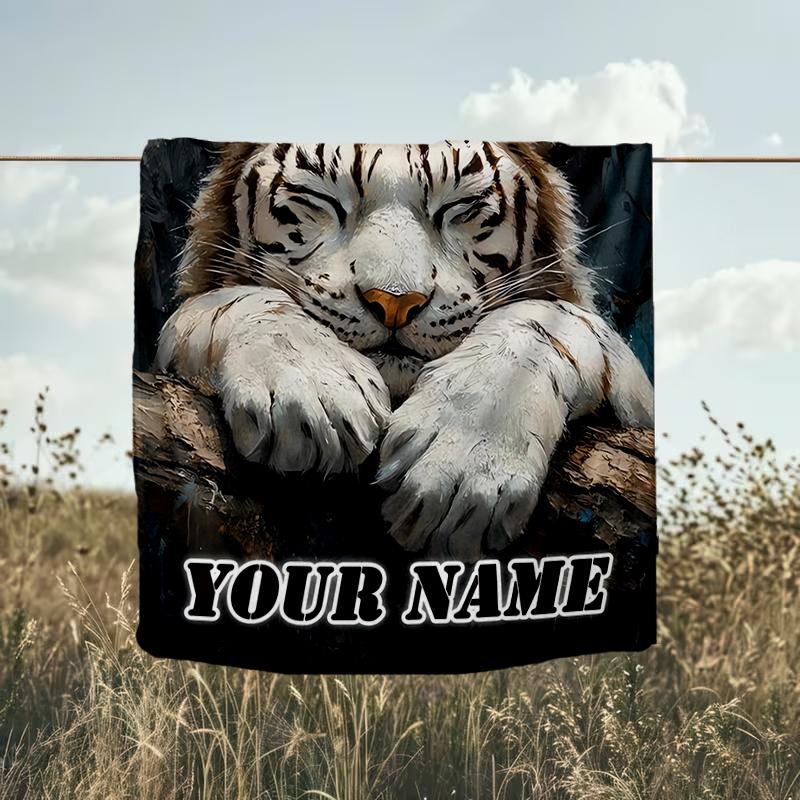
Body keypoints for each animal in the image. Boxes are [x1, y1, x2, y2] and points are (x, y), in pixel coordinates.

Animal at [156, 141, 654, 561]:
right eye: (323, 199)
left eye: (459, 207)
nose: (395, 302)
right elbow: (233, 303)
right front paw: (312, 397)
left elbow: (546, 319)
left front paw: (460, 473)